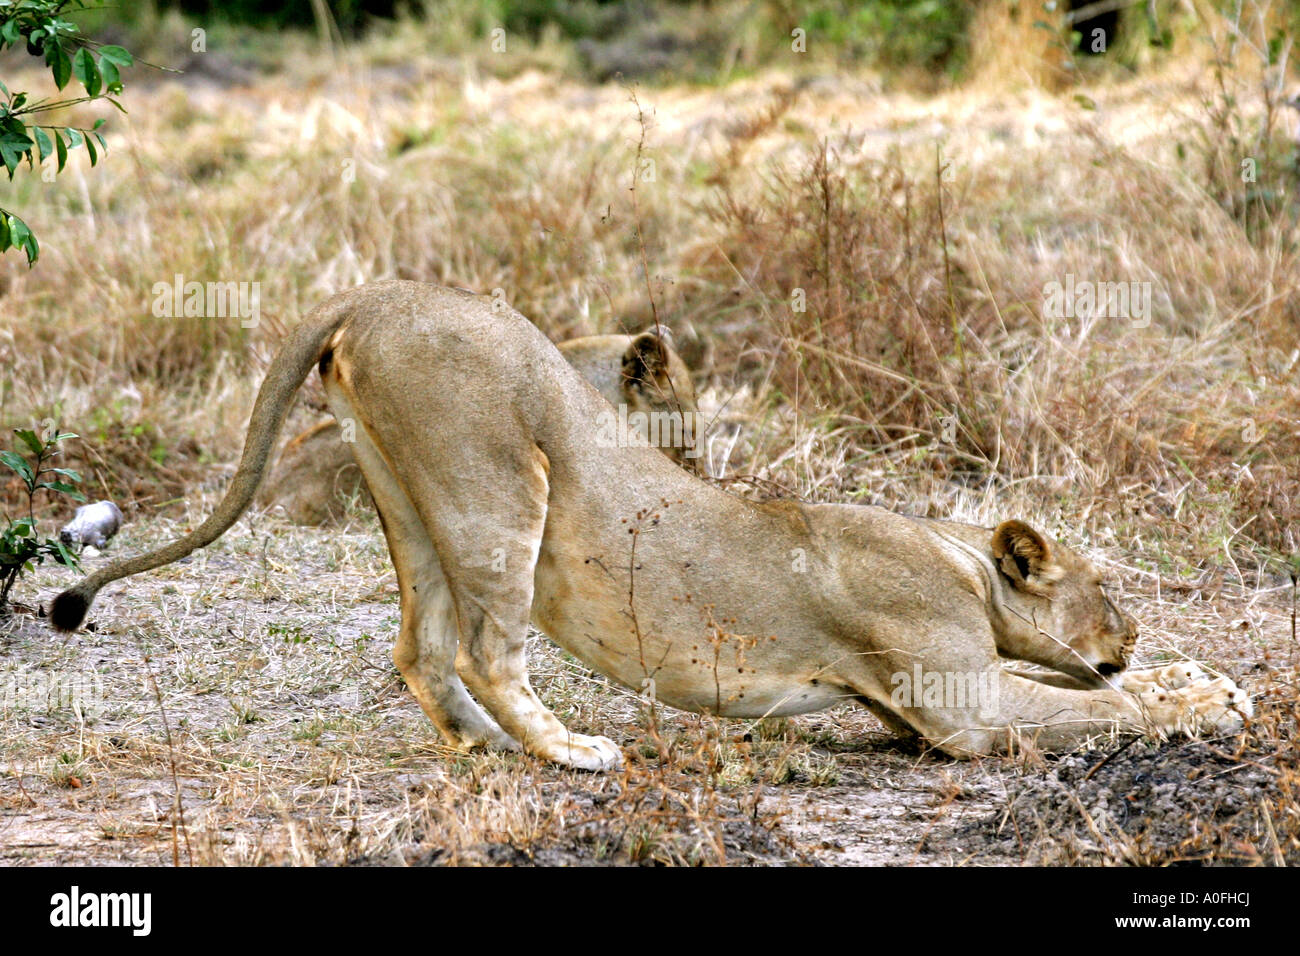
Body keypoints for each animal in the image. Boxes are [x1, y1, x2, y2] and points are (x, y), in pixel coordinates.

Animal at [50, 282, 1248, 770]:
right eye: (1106, 590)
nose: (1133, 629)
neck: (957, 557)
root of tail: (369, 293)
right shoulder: (955, 707)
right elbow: (1103, 705)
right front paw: (1194, 697)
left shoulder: (925, 702)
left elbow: (1088, 689)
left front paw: (1200, 679)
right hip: (500, 482)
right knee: (484, 650)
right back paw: (570, 751)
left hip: (405, 492)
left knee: (419, 650)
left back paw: (489, 749)